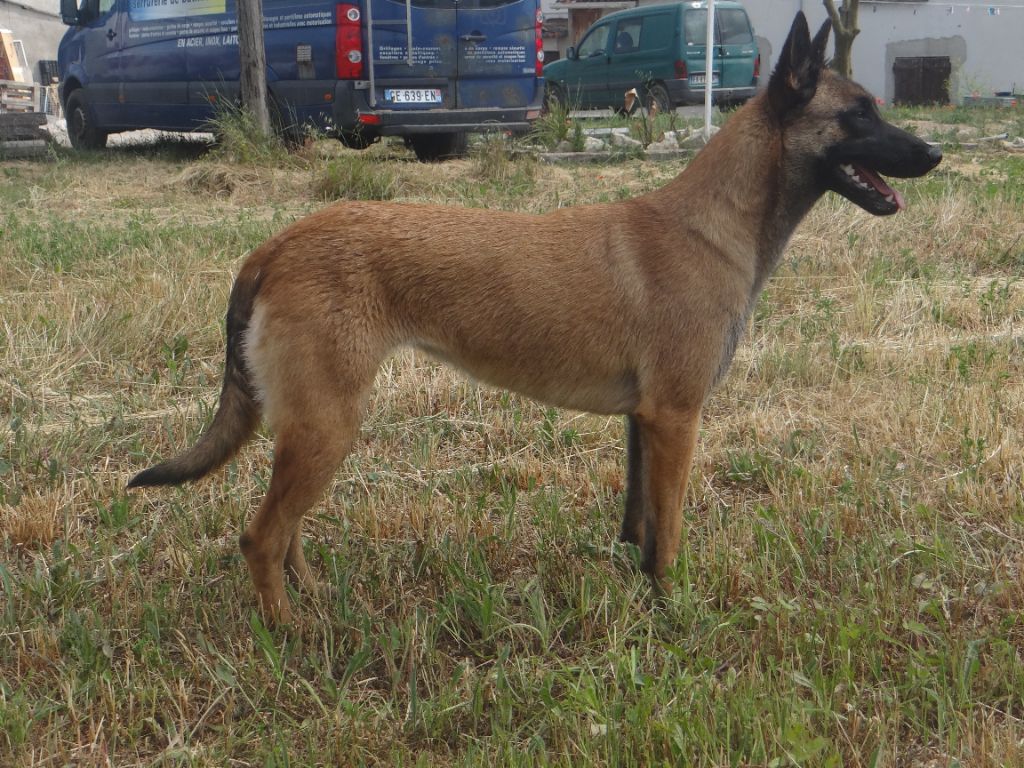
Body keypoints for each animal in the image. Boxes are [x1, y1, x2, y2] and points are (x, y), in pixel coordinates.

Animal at [130, 13, 942, 626]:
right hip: (328, 425)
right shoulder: (677, 418)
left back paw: (317, 599)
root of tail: (278, 244)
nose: (934, 152)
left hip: (314, 426)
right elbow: (671, 532)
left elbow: (640, 525)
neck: (712, 227)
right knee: (261, 536)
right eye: (858, 114)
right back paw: (290, 633)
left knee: (287, 528)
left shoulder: (645, 423)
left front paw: (635, 590)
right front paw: (673, 611)